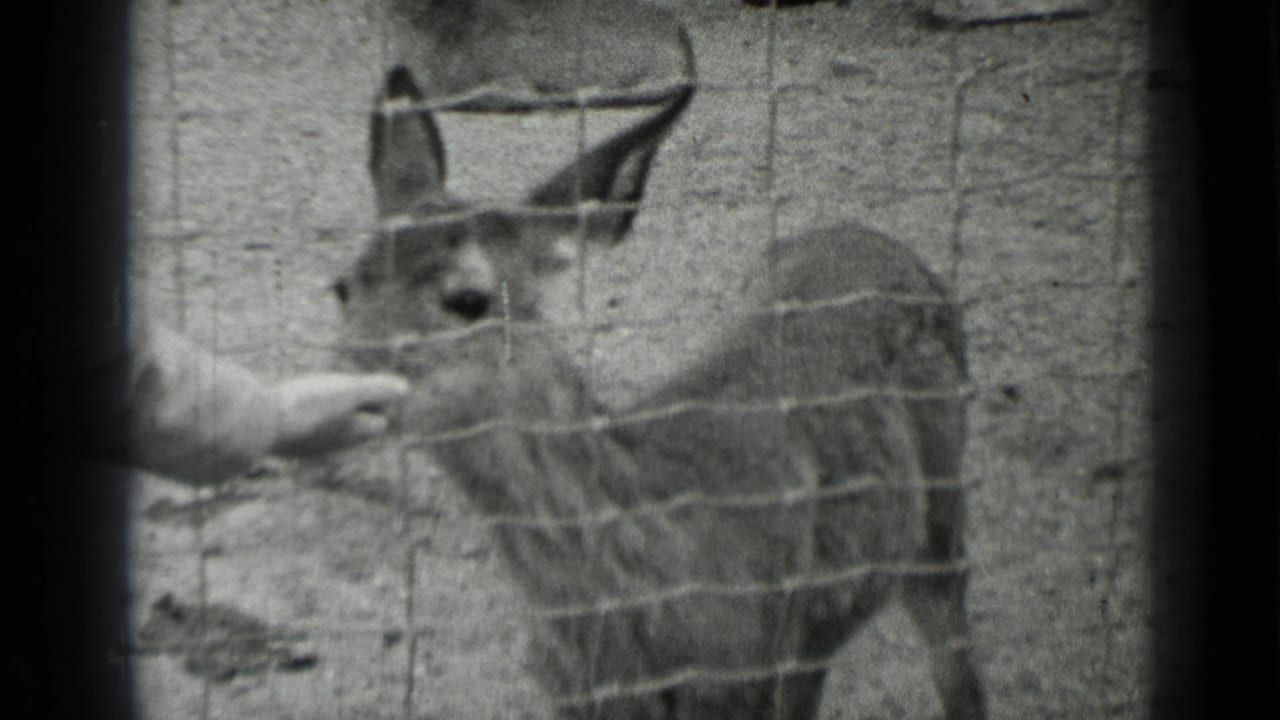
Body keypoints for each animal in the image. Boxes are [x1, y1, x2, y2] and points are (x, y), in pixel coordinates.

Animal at [331, 65, 988, 720]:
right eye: (342, 286)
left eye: (468, 299)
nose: (349, 386)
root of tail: (864, 233)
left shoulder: (747, 670)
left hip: (937, 510)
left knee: (953, 647)